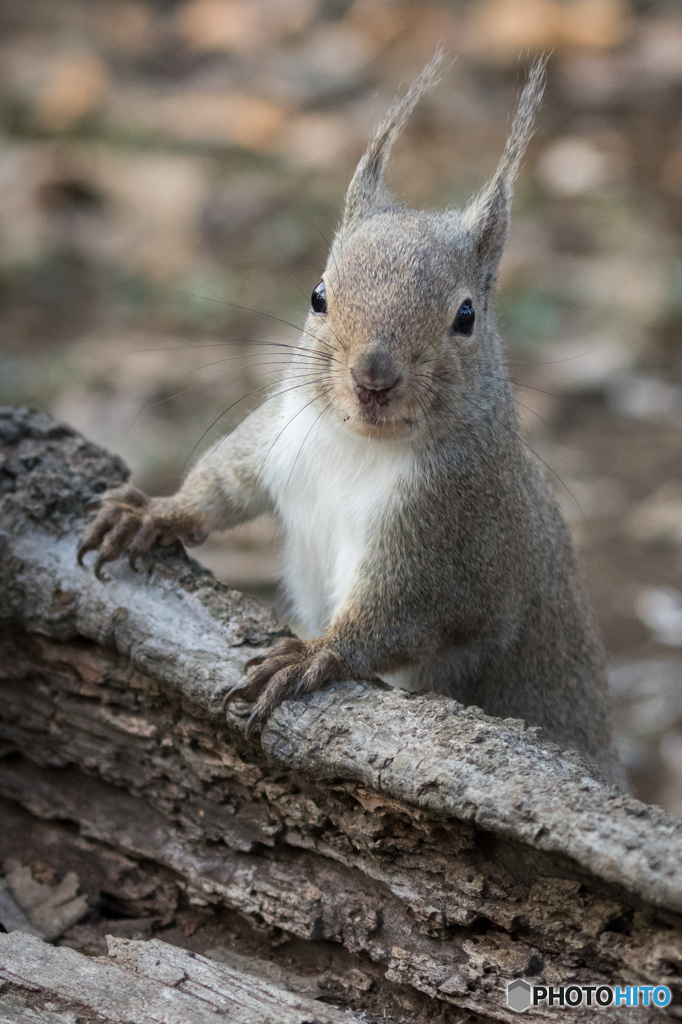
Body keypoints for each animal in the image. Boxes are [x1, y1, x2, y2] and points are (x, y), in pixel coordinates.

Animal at [76, 58, 622, 782]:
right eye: (318, 295)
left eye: (467, 316)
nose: (373, 378)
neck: (357, 444)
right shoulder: (276, 435)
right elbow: (222, 486)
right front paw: (152, 513)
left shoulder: (451, 534)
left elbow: (402, 616)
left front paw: (315, 653)